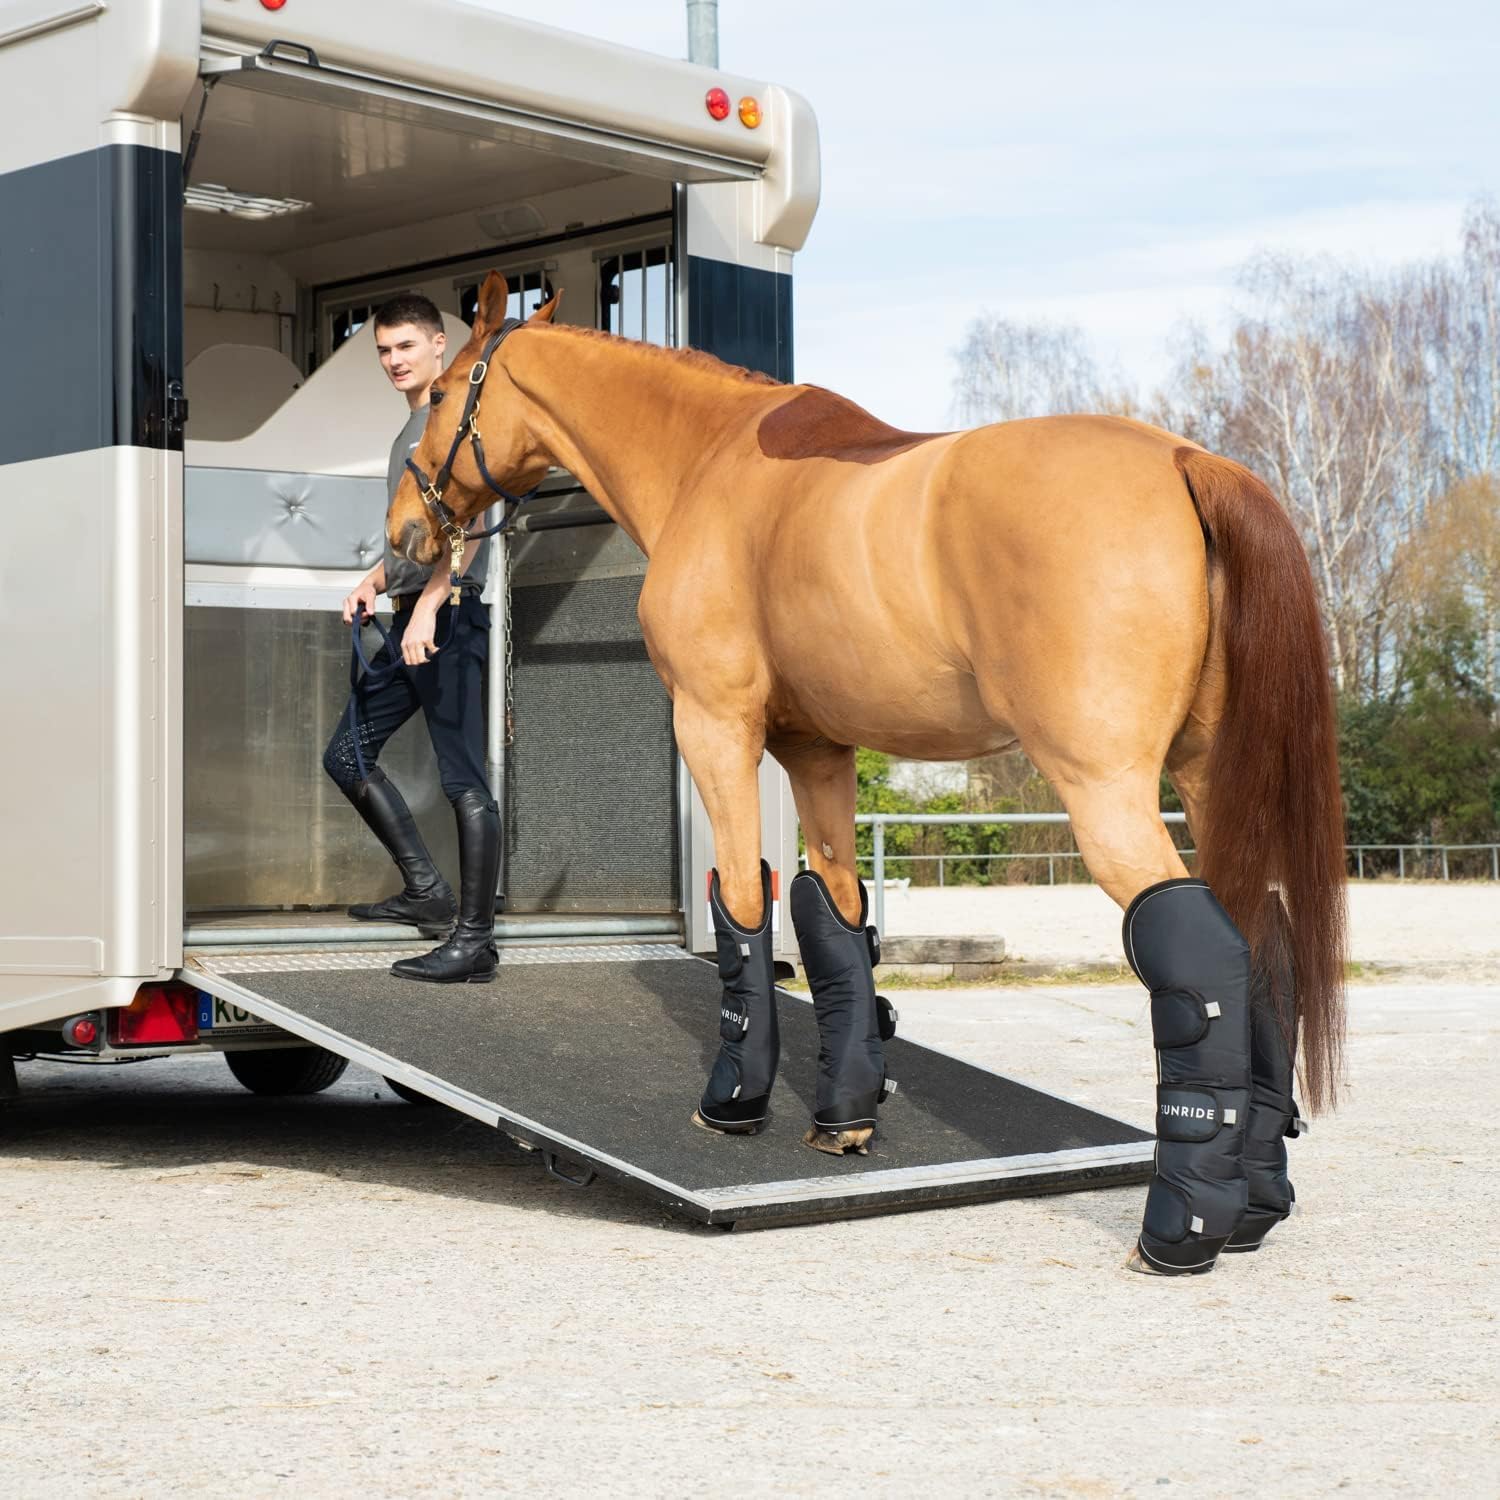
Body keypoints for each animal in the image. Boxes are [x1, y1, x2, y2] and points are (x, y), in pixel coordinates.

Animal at [389, 272, 1347, 1276]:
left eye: (441, 395)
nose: (406, 532)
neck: (708, 466)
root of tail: (1187, 462)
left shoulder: (716, 726)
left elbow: (742, 902)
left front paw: (735, 1100)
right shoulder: (817, 750)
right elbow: (835, 920)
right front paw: (845, 1113)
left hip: (1106, 788)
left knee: (1197, 955)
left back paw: (1179, 1230)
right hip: (1207, 783)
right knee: (1264, 945)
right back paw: (1254, 1206)